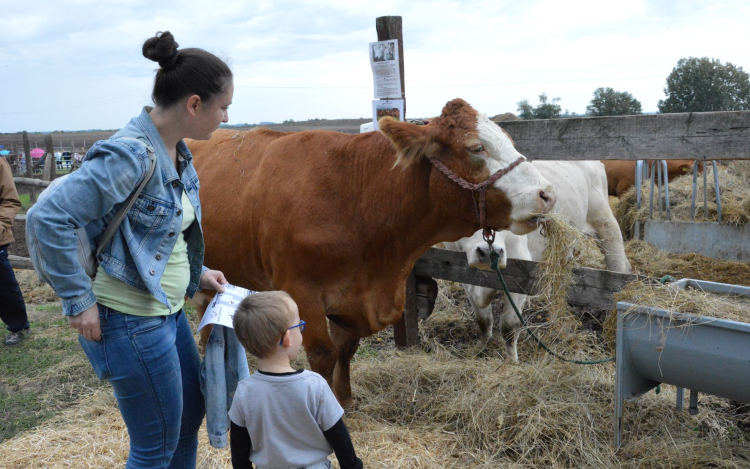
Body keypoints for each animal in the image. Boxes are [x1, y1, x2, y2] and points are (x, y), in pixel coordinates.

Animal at [188, 99, 560, 410]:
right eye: (476, 147)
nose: (547, 194)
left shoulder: (353, 298)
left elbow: (345, 350)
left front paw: (346, 400)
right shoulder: (302, 291)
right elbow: (323, 354)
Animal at [446, 159, 636, 360]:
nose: (487, 252)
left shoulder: (519, 279)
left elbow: (509, 325)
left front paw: (512, 361)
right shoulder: (464, 278)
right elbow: (483, 320)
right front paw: (479, 349)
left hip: (606, 225)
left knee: (619, 269)